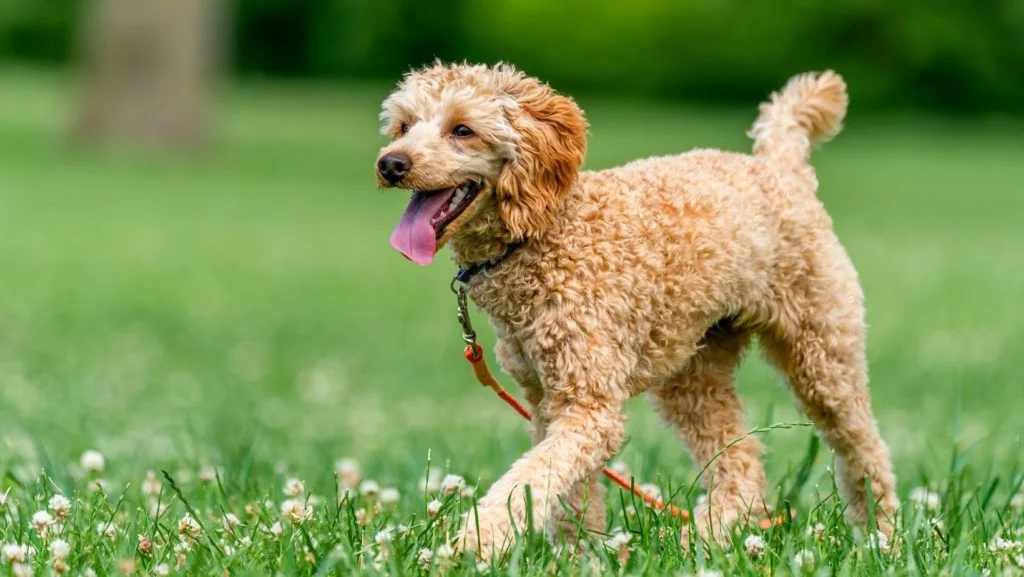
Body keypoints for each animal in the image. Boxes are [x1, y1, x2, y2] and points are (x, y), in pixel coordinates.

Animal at [374, 62, 897, 561]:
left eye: (462, 129)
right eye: (403, 126)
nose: (390, 163)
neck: (545, 233)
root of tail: (780, 166)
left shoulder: (589, 405)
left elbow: (529, 480)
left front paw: (474, 543)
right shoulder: (548, 401)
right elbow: (568, 493)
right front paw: (579, 556)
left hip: (822, 349)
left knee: (864, 448)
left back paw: (882, 537)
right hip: (694, 372)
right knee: (742, 462)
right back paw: (706, 539)